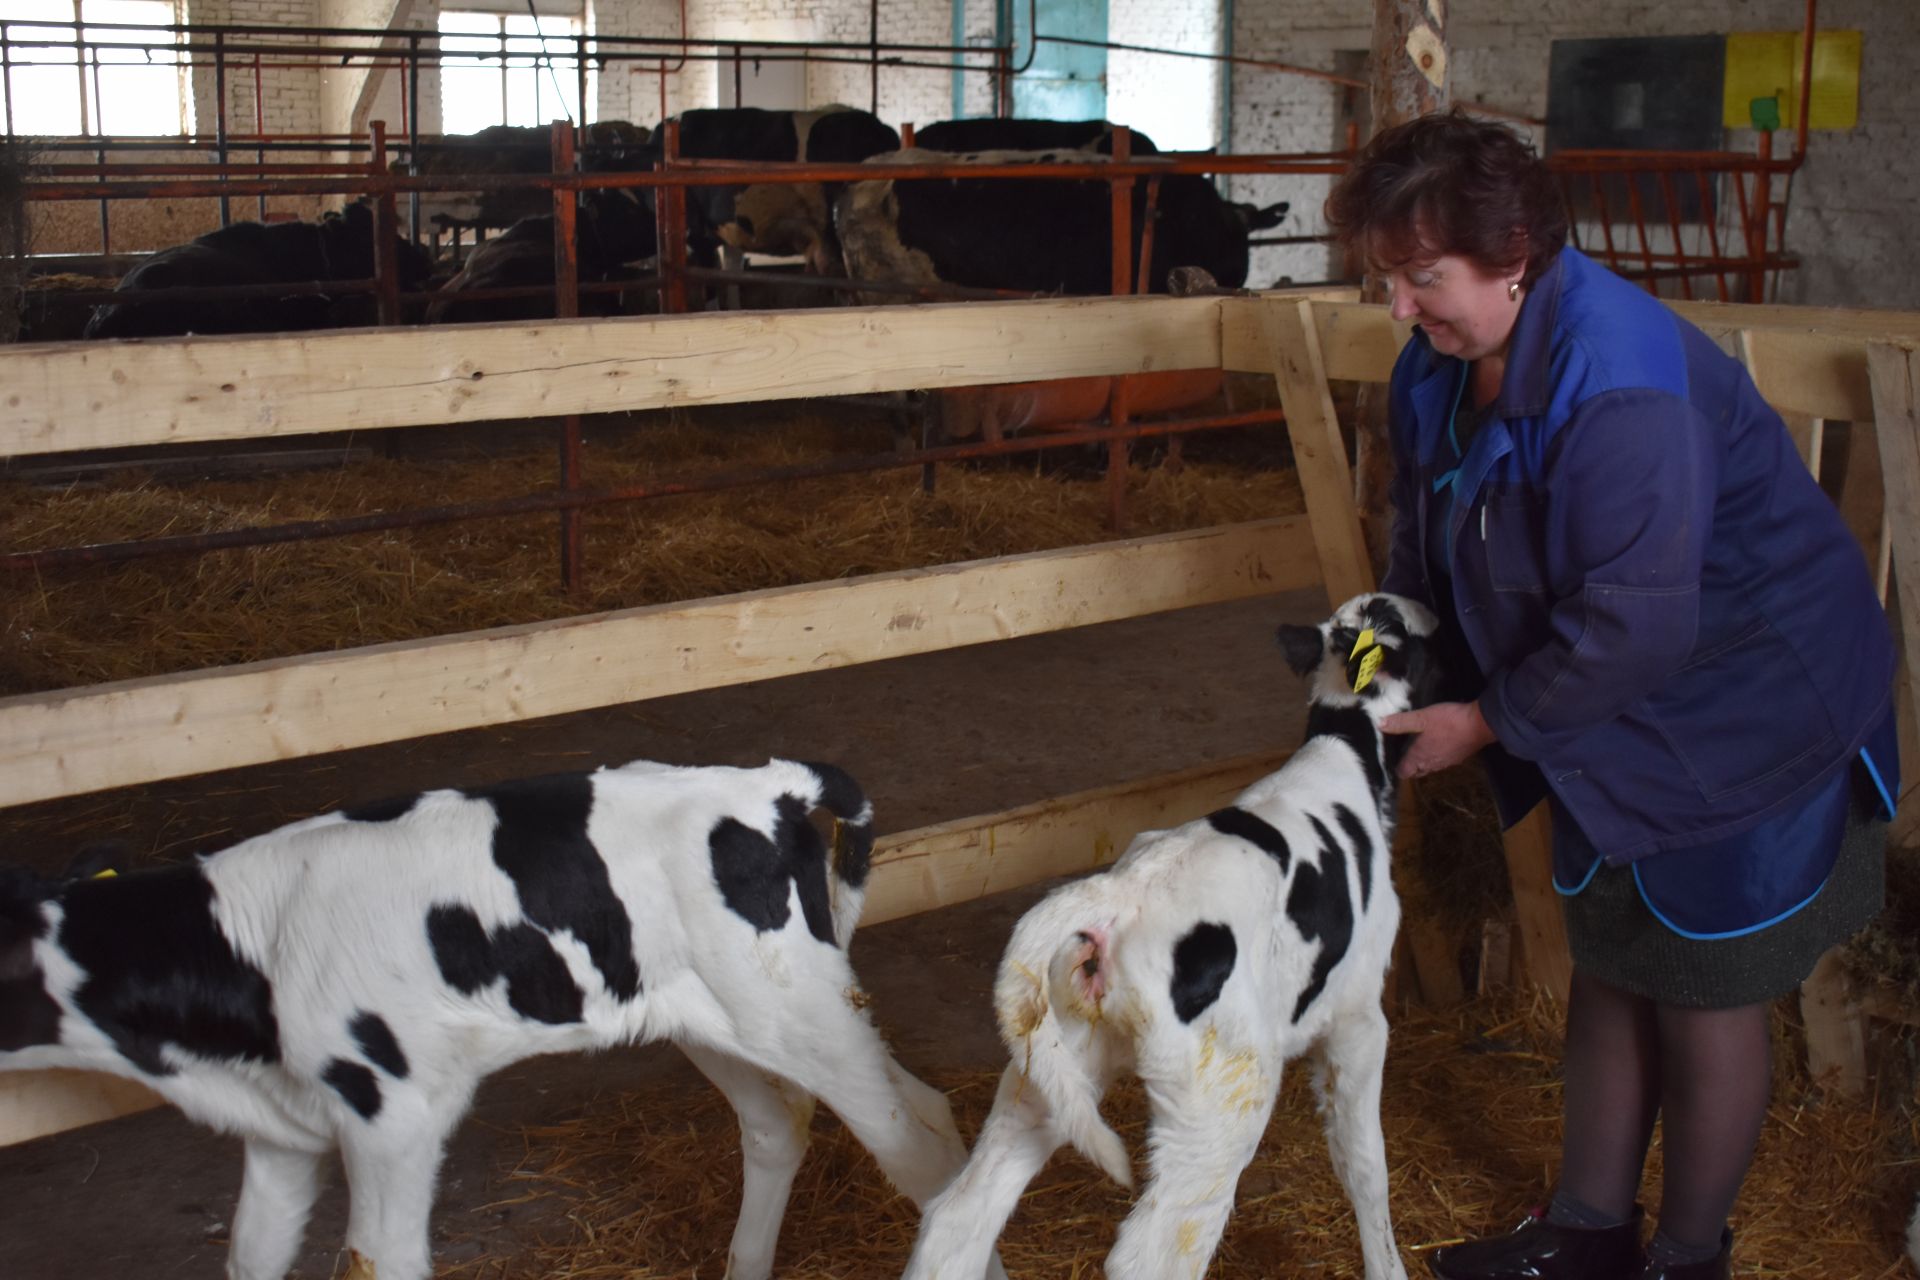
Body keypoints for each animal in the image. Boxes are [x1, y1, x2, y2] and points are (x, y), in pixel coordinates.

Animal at [0, 759, 1013, 1280]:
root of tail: (772, 783)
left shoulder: (394, 1115)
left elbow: (376, 1260)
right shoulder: (284, 1127)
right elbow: (252, 1258)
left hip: (798, 1005)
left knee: (917, 1130)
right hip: (716, 1017)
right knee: (780, 1120)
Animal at [890, 598, 1436, 1280]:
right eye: (1422, 640)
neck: (1346, 754)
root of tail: (1118, 893)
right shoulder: (1358, 1017)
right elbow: (1365, 1166)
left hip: (1050, 1071)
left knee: (958, 1215)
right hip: (1223, 1103)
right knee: (1152, 1254)